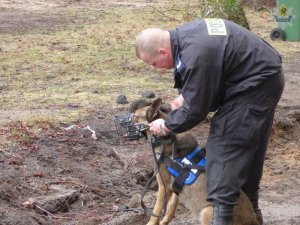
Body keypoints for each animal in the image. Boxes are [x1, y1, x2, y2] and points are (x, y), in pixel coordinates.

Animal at [130, 98, 258, 225]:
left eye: (134, 115)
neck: (165, 138)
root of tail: (253, 220)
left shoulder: (163, 187)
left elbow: (156, 212)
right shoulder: (176, 188)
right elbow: (171, 209)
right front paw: (164, 222)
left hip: (207, 212)